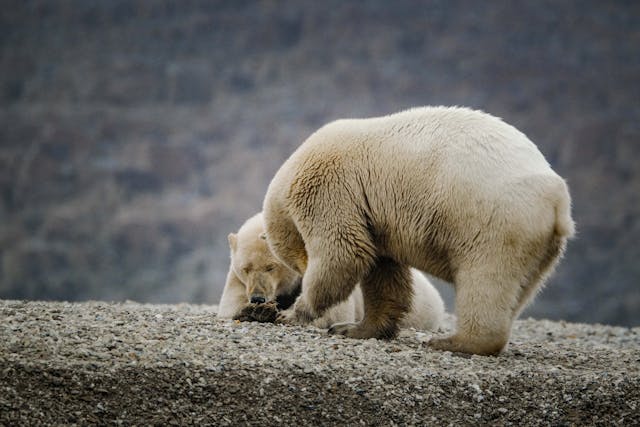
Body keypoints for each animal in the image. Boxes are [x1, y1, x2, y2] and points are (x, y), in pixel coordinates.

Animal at [216, 213, 444, 332]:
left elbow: (334, 309)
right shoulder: (237, 279)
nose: (257, 298)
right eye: (245, 268)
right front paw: (256, 310)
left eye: (271, 267)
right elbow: (229, 303)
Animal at [262, 105, 572, 356]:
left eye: (296, 263)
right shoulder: (374, 218)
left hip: (494, 220)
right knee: (520, 288)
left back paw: (452, 342)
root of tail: (557, 199)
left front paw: (293, 313)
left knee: (485, 279)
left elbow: (344, 253)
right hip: (541, 246)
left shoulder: (332, 189)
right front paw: (355, 328)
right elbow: (383, 271)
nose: (302, 277)